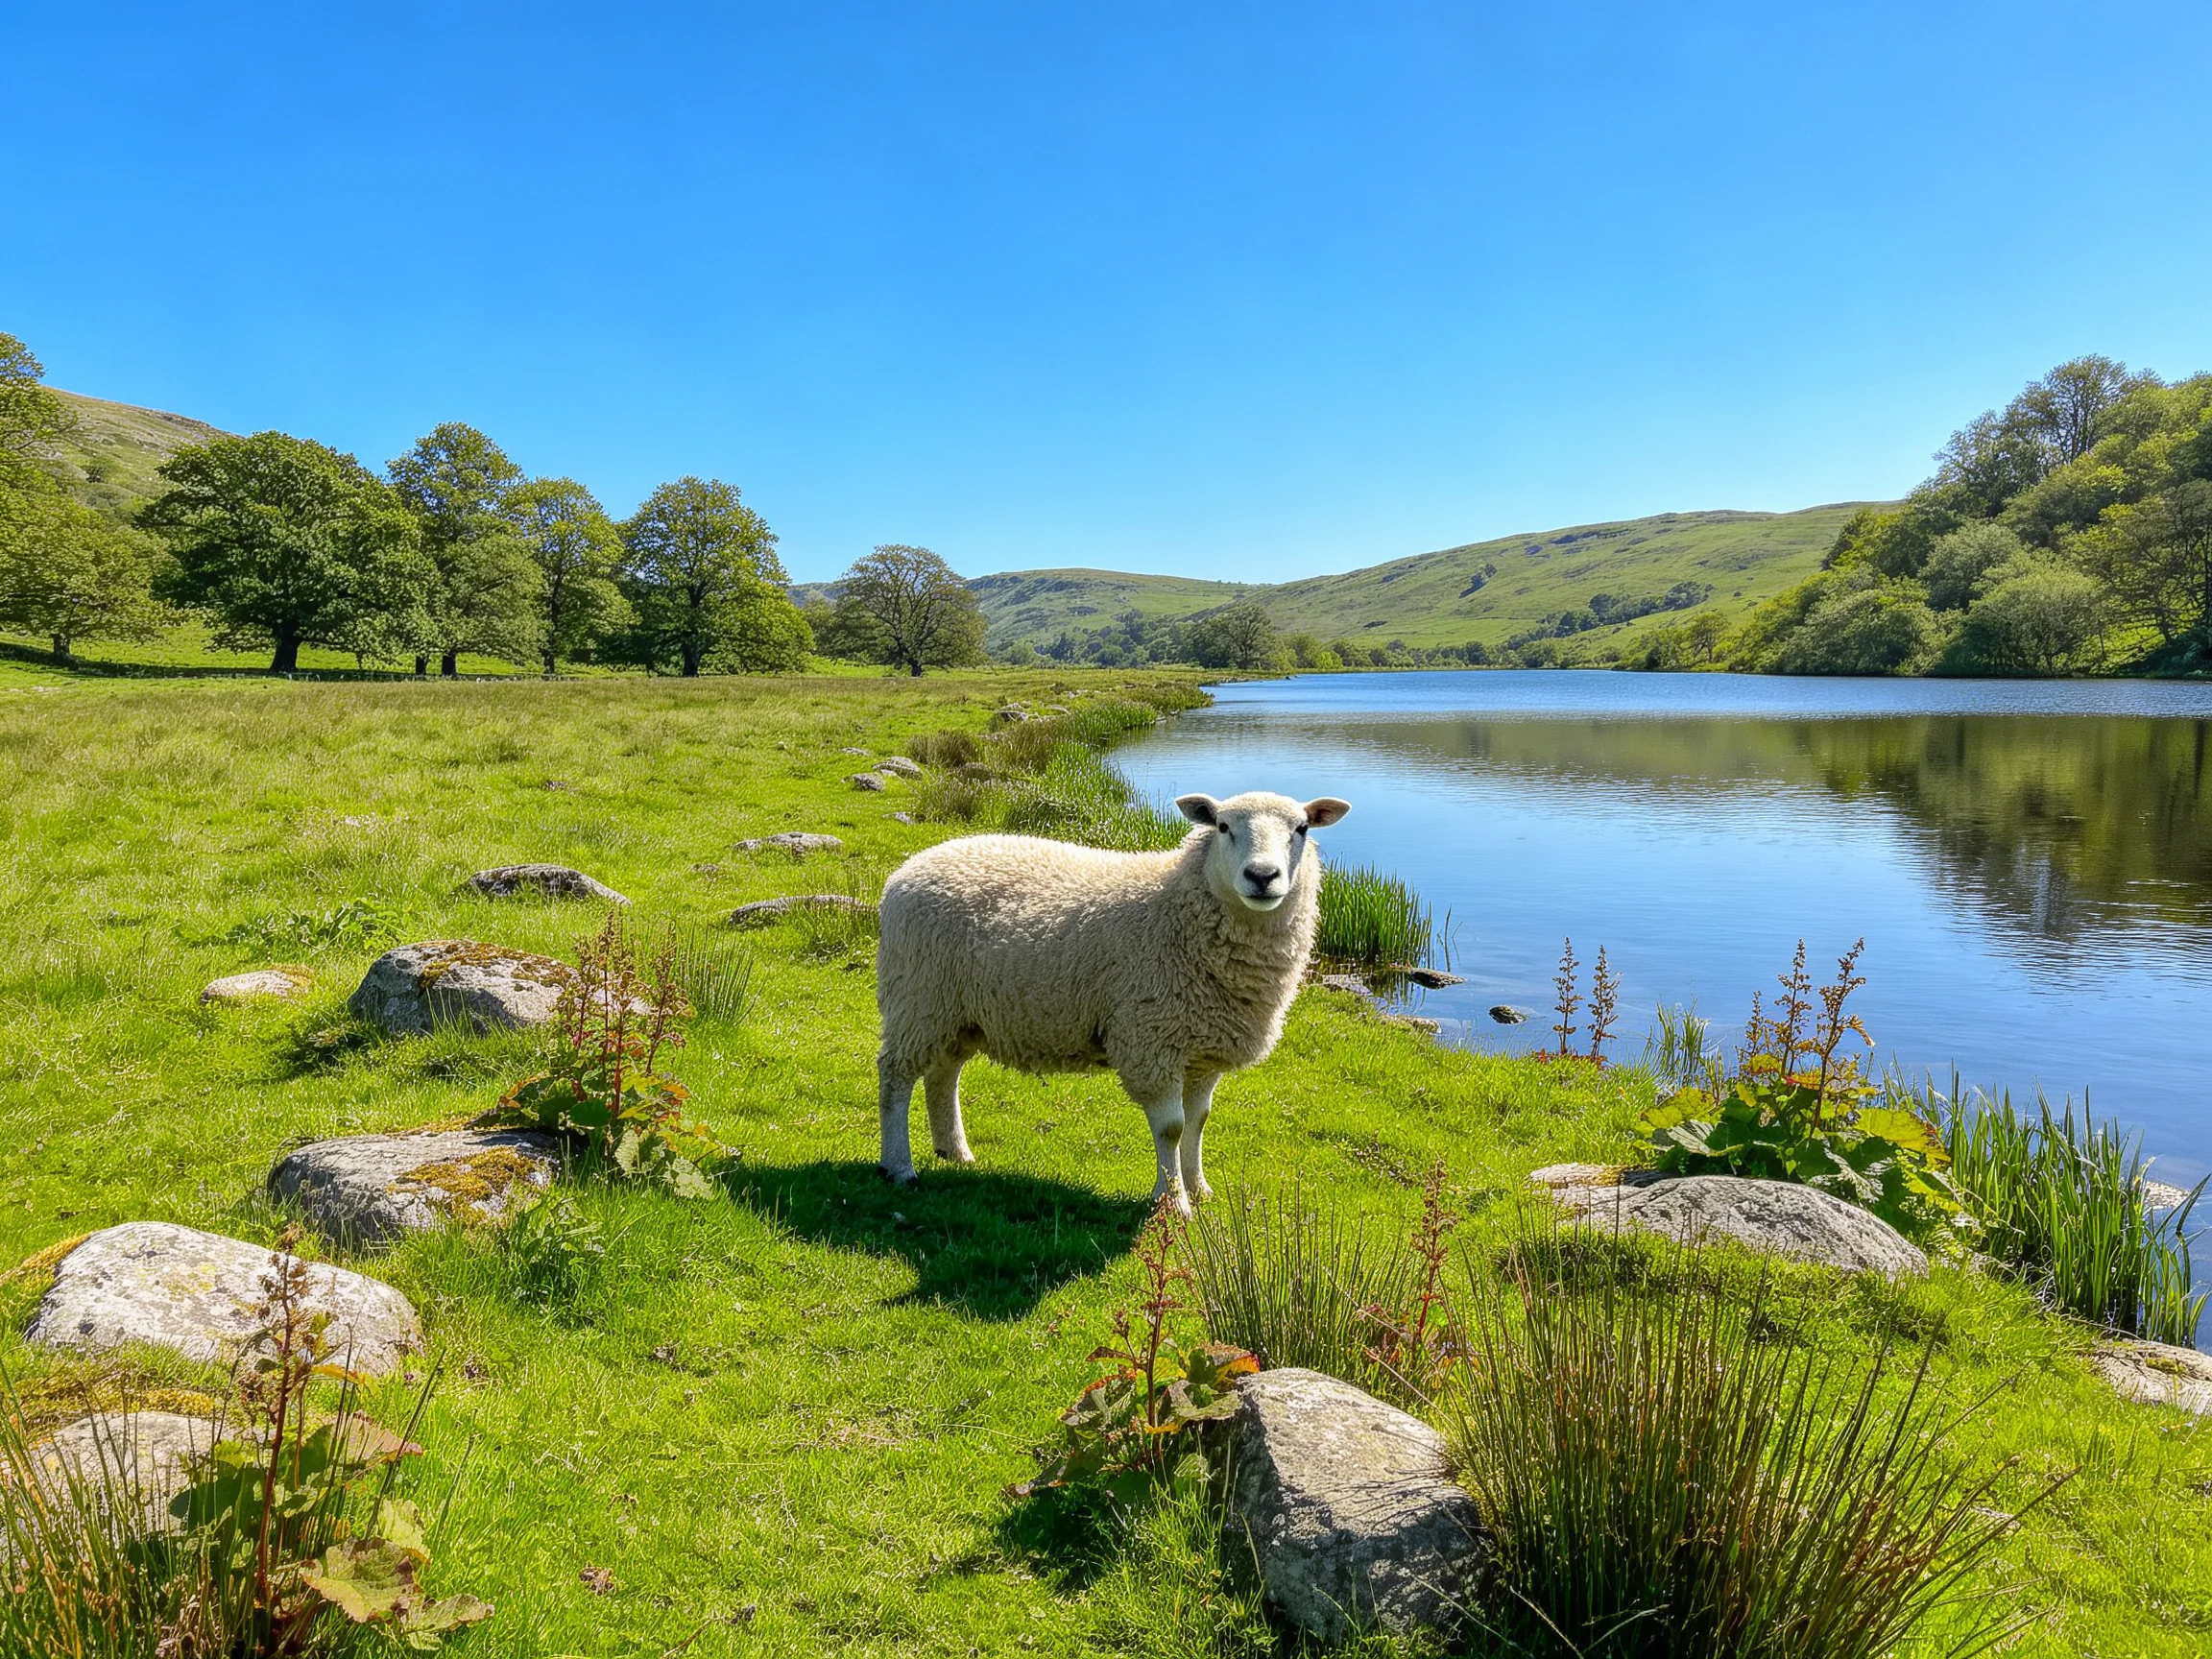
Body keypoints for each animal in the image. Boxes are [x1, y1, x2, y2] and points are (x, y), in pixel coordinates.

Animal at [874, 789, 1351, 1214]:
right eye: (1222, 826)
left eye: (1302, 829)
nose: (1262, 876)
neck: (1177, 910)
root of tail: (909, 868)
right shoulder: (1151, 1041)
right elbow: (1172, 1127)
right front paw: (1172, 1201)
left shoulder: (1203, 1050)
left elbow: (1199, 1120)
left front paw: (1199, 1189)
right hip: (916, 997)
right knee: (896, 1076)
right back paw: (900, 1167)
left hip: (956, 1012)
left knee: (944, 1074)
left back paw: (954, 1151)